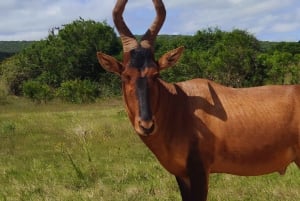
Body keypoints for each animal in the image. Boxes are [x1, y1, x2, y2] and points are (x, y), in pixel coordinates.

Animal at [96, 0, 300, 200]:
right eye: (125, 76)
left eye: (155, 74)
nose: (146, 125)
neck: (180, 104)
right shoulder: (181, 174)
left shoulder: (200, 170)